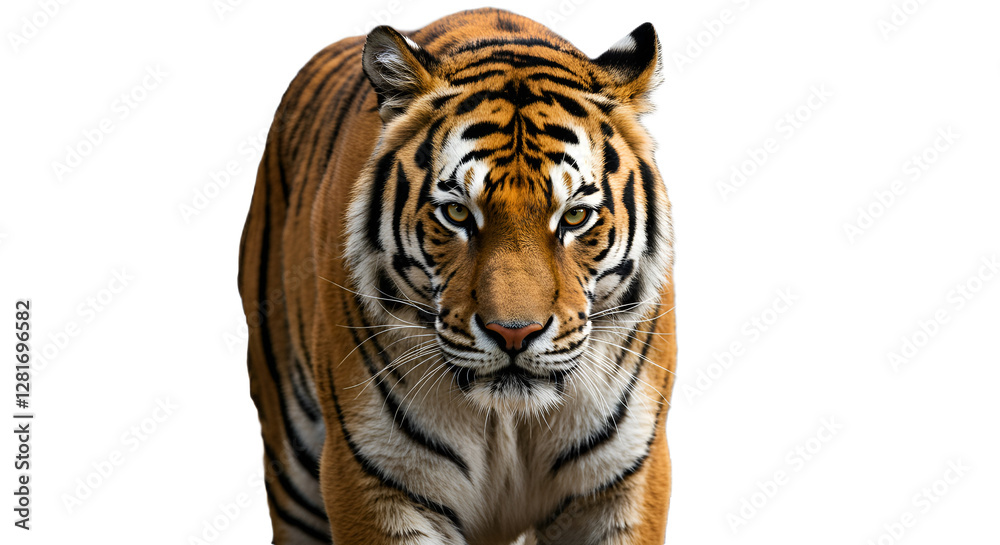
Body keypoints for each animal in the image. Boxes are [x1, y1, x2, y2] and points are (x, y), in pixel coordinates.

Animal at [237, 7, 676, 544]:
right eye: (457, 213)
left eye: (574, 217)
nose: (515, 334)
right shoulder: (376, 481)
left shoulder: (621, 482)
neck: (508, 420)